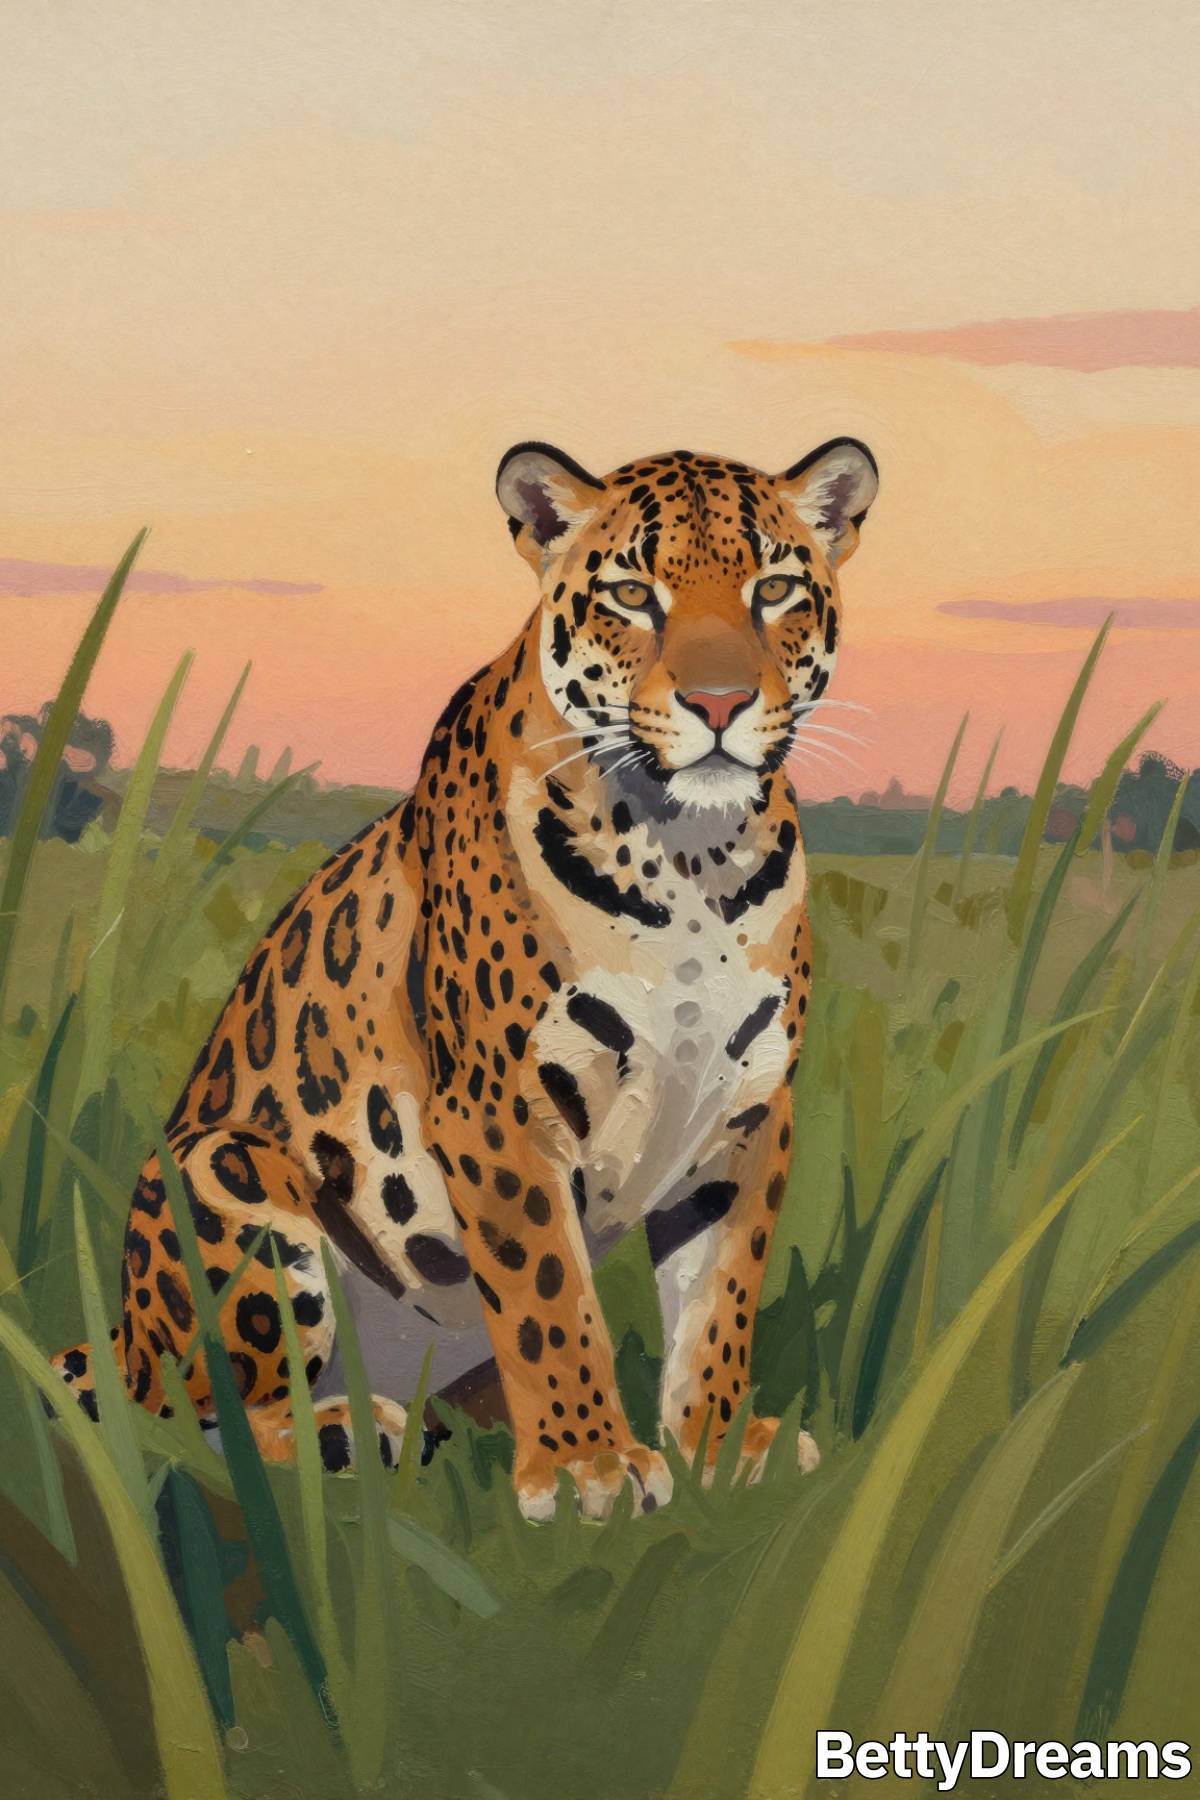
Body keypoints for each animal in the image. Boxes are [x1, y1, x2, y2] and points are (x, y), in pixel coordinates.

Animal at [53, 433, 878, 1520]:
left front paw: (718, 1446)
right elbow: (547, 1296)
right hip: (218, 1169)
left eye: (775, 588)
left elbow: (719, 1297)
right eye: (632, 594)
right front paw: (587, 1466)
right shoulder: (501, 1108)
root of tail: (124, 1339)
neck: (692, 852)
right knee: (182, 1421)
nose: (718, 704)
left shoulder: (745, 1107)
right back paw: (349, 1433)